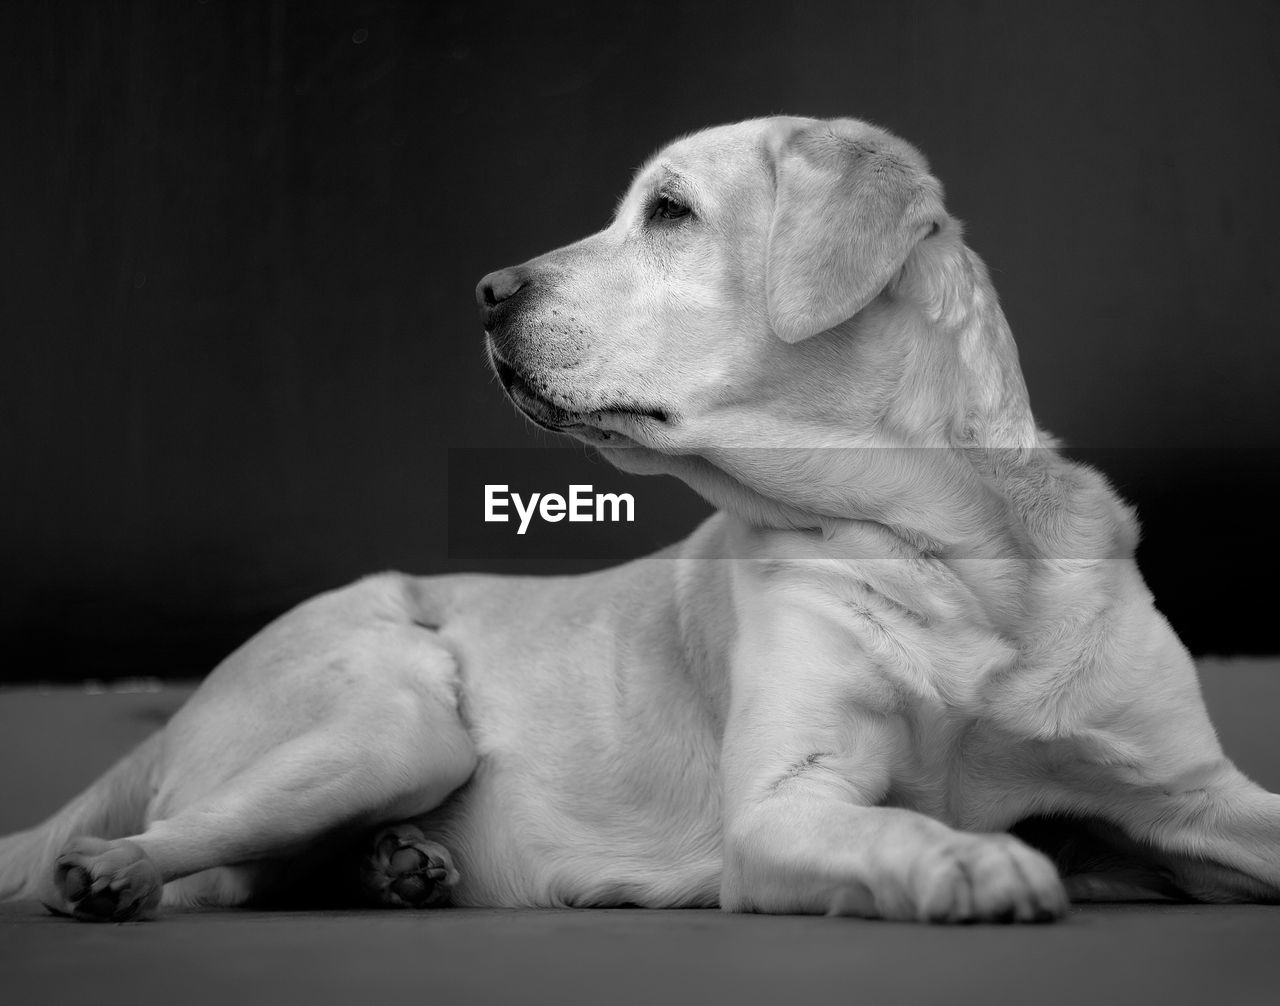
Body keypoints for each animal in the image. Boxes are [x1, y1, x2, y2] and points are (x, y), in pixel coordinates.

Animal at [2, 113, 1280, 921]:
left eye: (668, 211)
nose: (484, 291)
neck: (961, 554)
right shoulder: (783, 805)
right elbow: (900, 826)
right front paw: (971, 863)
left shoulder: (1186, 795)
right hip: (394, 720)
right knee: (184, 850)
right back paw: (110, 873)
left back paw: (396, 868)